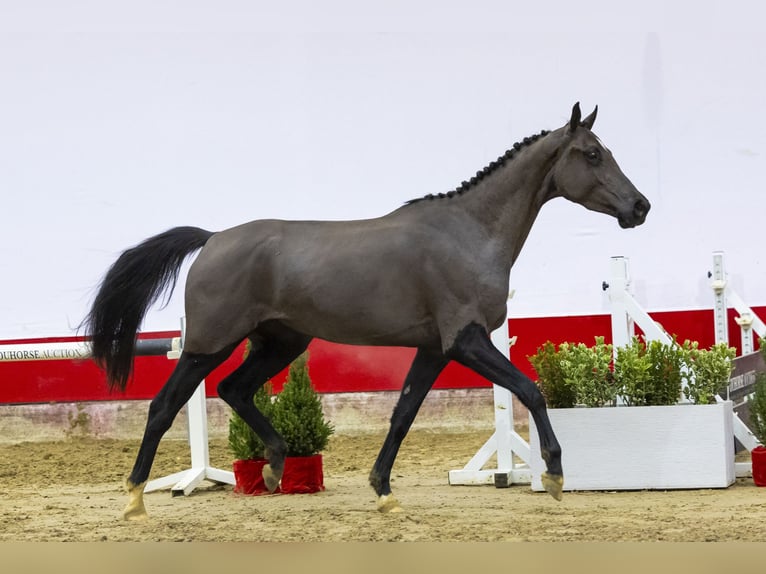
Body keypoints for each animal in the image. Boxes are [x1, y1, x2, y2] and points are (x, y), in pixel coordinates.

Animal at [82, 104, 648, 520]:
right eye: (592, 154)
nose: (640, 207)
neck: (469, 233)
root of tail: (213, 238)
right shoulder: (466, 341)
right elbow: (530, 389)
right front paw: (553, 475)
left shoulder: (433, 349)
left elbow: (402, 413)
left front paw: (383, 492)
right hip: (206, 344)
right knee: (164, 406)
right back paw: (135, 500)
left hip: (281, 341)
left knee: (234, 389)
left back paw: (273, 467)